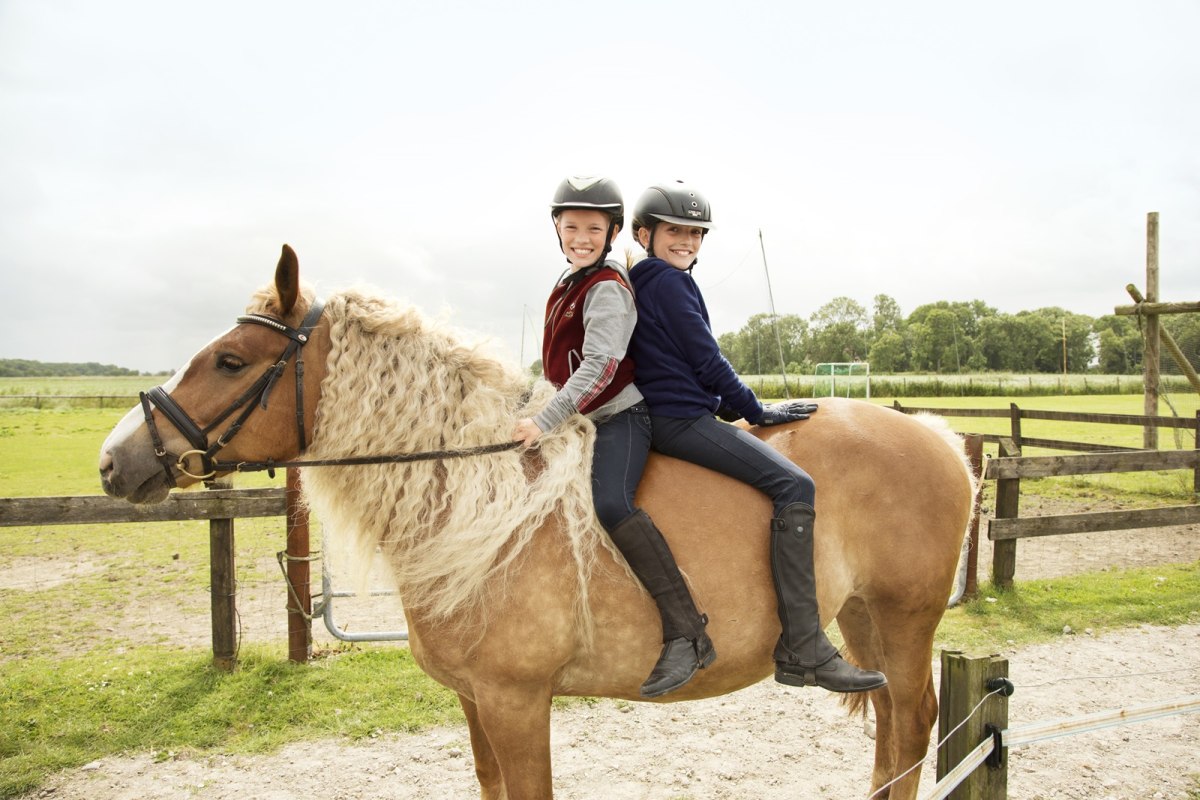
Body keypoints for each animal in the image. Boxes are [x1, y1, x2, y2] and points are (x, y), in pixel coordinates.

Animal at [100, 247, 974, 796]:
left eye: (231, 362)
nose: (115, 461)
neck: (475, 504)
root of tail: (937, 434)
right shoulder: (475, 703)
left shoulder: (517, 704)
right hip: (860, 622)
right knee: (892, 730)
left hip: (904, 621)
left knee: (912, 727)